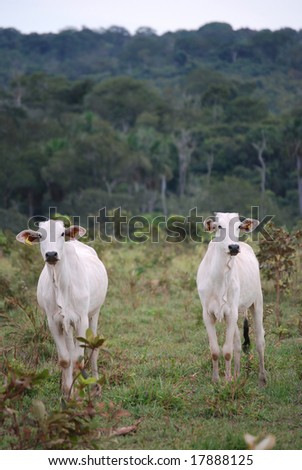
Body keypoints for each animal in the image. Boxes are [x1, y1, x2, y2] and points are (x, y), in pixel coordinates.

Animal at [16, 218, 108, 394]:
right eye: (40, 235)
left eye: (62, 233)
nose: (51, 254)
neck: (61, 284)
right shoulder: (54, 322)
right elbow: (66, 359)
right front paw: (67, 392)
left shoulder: (81, 320)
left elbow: (78, 359)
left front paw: (78, 394)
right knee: (70, 351)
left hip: (95, 314)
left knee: (93, 350)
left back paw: (96, 386)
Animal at [198, 212, 266, 386]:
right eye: (219, 226)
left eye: (238, 227)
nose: (234, 247)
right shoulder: (207, 314)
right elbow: (215, 351)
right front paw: (217, 380)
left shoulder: (231, 313)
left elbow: (227, 351)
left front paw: (227, 381)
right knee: (237, 345)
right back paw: (237, 375)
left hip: (257, 303)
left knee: (260, 342)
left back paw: (262, 378)